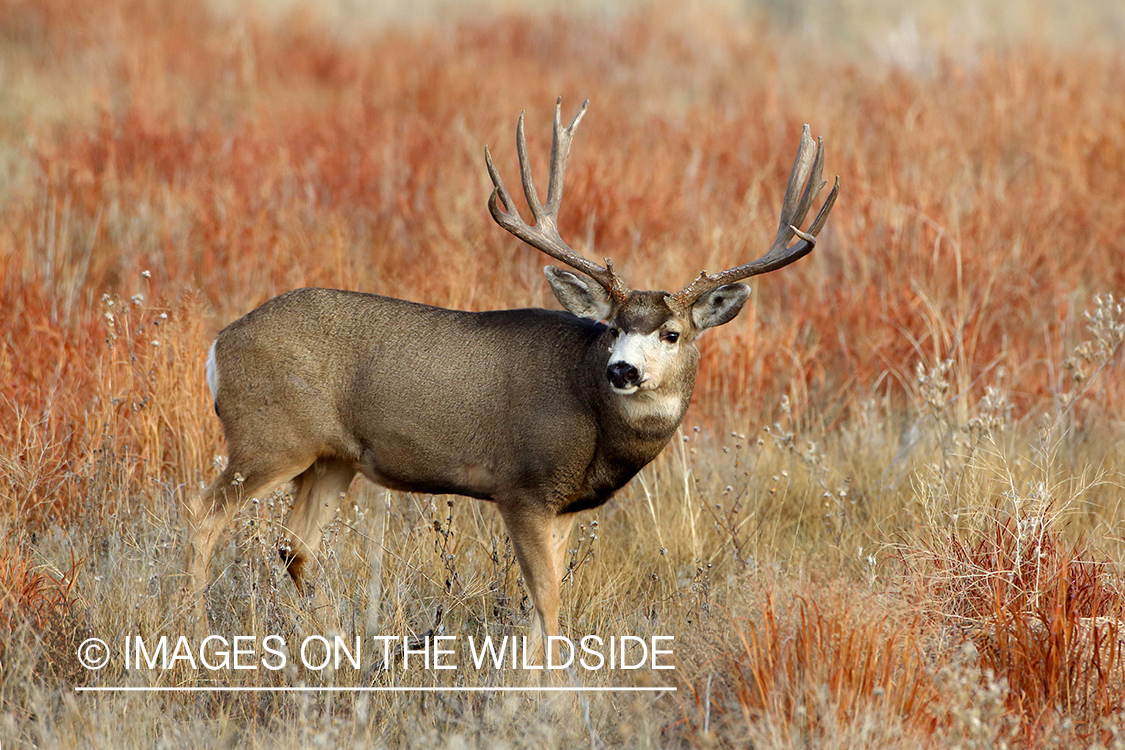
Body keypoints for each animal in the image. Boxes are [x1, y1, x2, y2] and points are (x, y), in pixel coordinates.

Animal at [184, 98, 837, 656]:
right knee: (205, 512)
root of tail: (220, 344)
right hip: (270, 437)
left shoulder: (566, 506)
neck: (591, 411)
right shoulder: (522, 486)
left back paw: (340, 646)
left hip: (332, 459)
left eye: (672, 333)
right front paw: (550, 696)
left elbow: (547, 603)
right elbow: (546, 604)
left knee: (294, 546)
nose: (623, 369)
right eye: (614, 326)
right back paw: (192, 629)